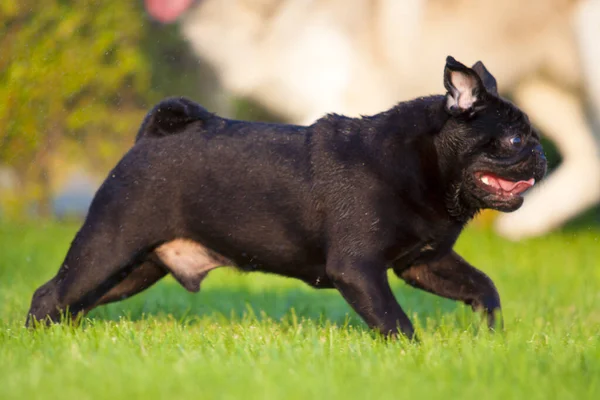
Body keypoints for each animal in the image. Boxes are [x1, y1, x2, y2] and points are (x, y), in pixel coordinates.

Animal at [25, 55, 548, 338]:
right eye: (514, 139)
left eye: (531, 136)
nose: (541, 153)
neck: (424, 162)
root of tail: (149, 139)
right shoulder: (358, 270)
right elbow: (396, 322)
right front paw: (413, 355)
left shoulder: (424, 264)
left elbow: (482, 287)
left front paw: (492, 335)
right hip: (108, 247)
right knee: (50, 294)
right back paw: (35, 343)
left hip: (133, 269)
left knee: (74, 301)